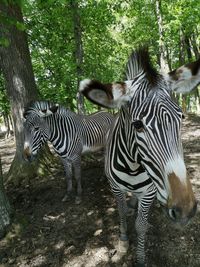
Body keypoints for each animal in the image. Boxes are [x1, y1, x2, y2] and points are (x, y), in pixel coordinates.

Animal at [79, 47, 199, 266]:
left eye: (181, 118)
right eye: (137, 125)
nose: (186, 210)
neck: (133, 166)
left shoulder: (149, 192)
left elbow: (140, 225)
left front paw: (141, 257)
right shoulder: (115, 187)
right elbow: (121, 214)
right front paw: (123, 242)